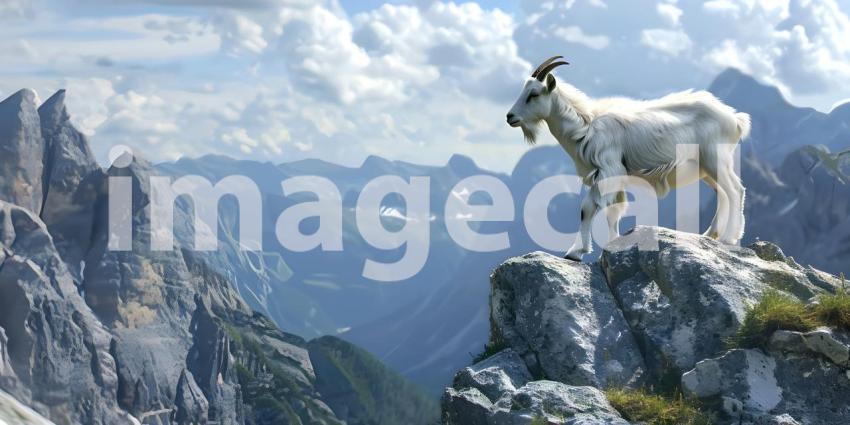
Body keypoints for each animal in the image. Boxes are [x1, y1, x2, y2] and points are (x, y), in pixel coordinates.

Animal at [507, 56, 750, 260]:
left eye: (534, 94)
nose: (510, 117)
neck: (586, 126)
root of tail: (735, 119)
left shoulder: (608, 170)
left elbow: (587, 208)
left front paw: (575, 252)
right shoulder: (614, 176)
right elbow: (613, 211)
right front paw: (611, 245)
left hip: (716, 159)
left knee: (735, 190)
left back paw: (729, 237)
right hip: (706, 169)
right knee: (722, 194)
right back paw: (711, 234)